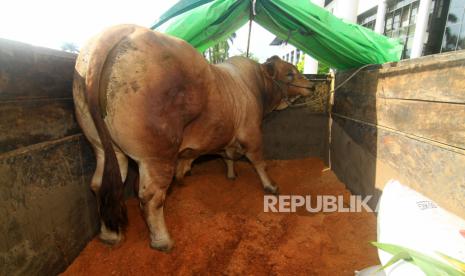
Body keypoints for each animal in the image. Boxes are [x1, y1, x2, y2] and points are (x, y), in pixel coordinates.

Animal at [74, 24, 314, 251]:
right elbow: (259, 162)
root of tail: (121, 30)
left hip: (104, 148)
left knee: (100, 185)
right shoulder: (251, 132)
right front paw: (271, 186)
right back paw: (162, 241)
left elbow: (227, 156)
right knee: (151, 196)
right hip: (157, 154)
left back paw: (110, 235)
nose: (311, 85)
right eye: (290, 73)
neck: (256, 86)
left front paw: (230, 175)